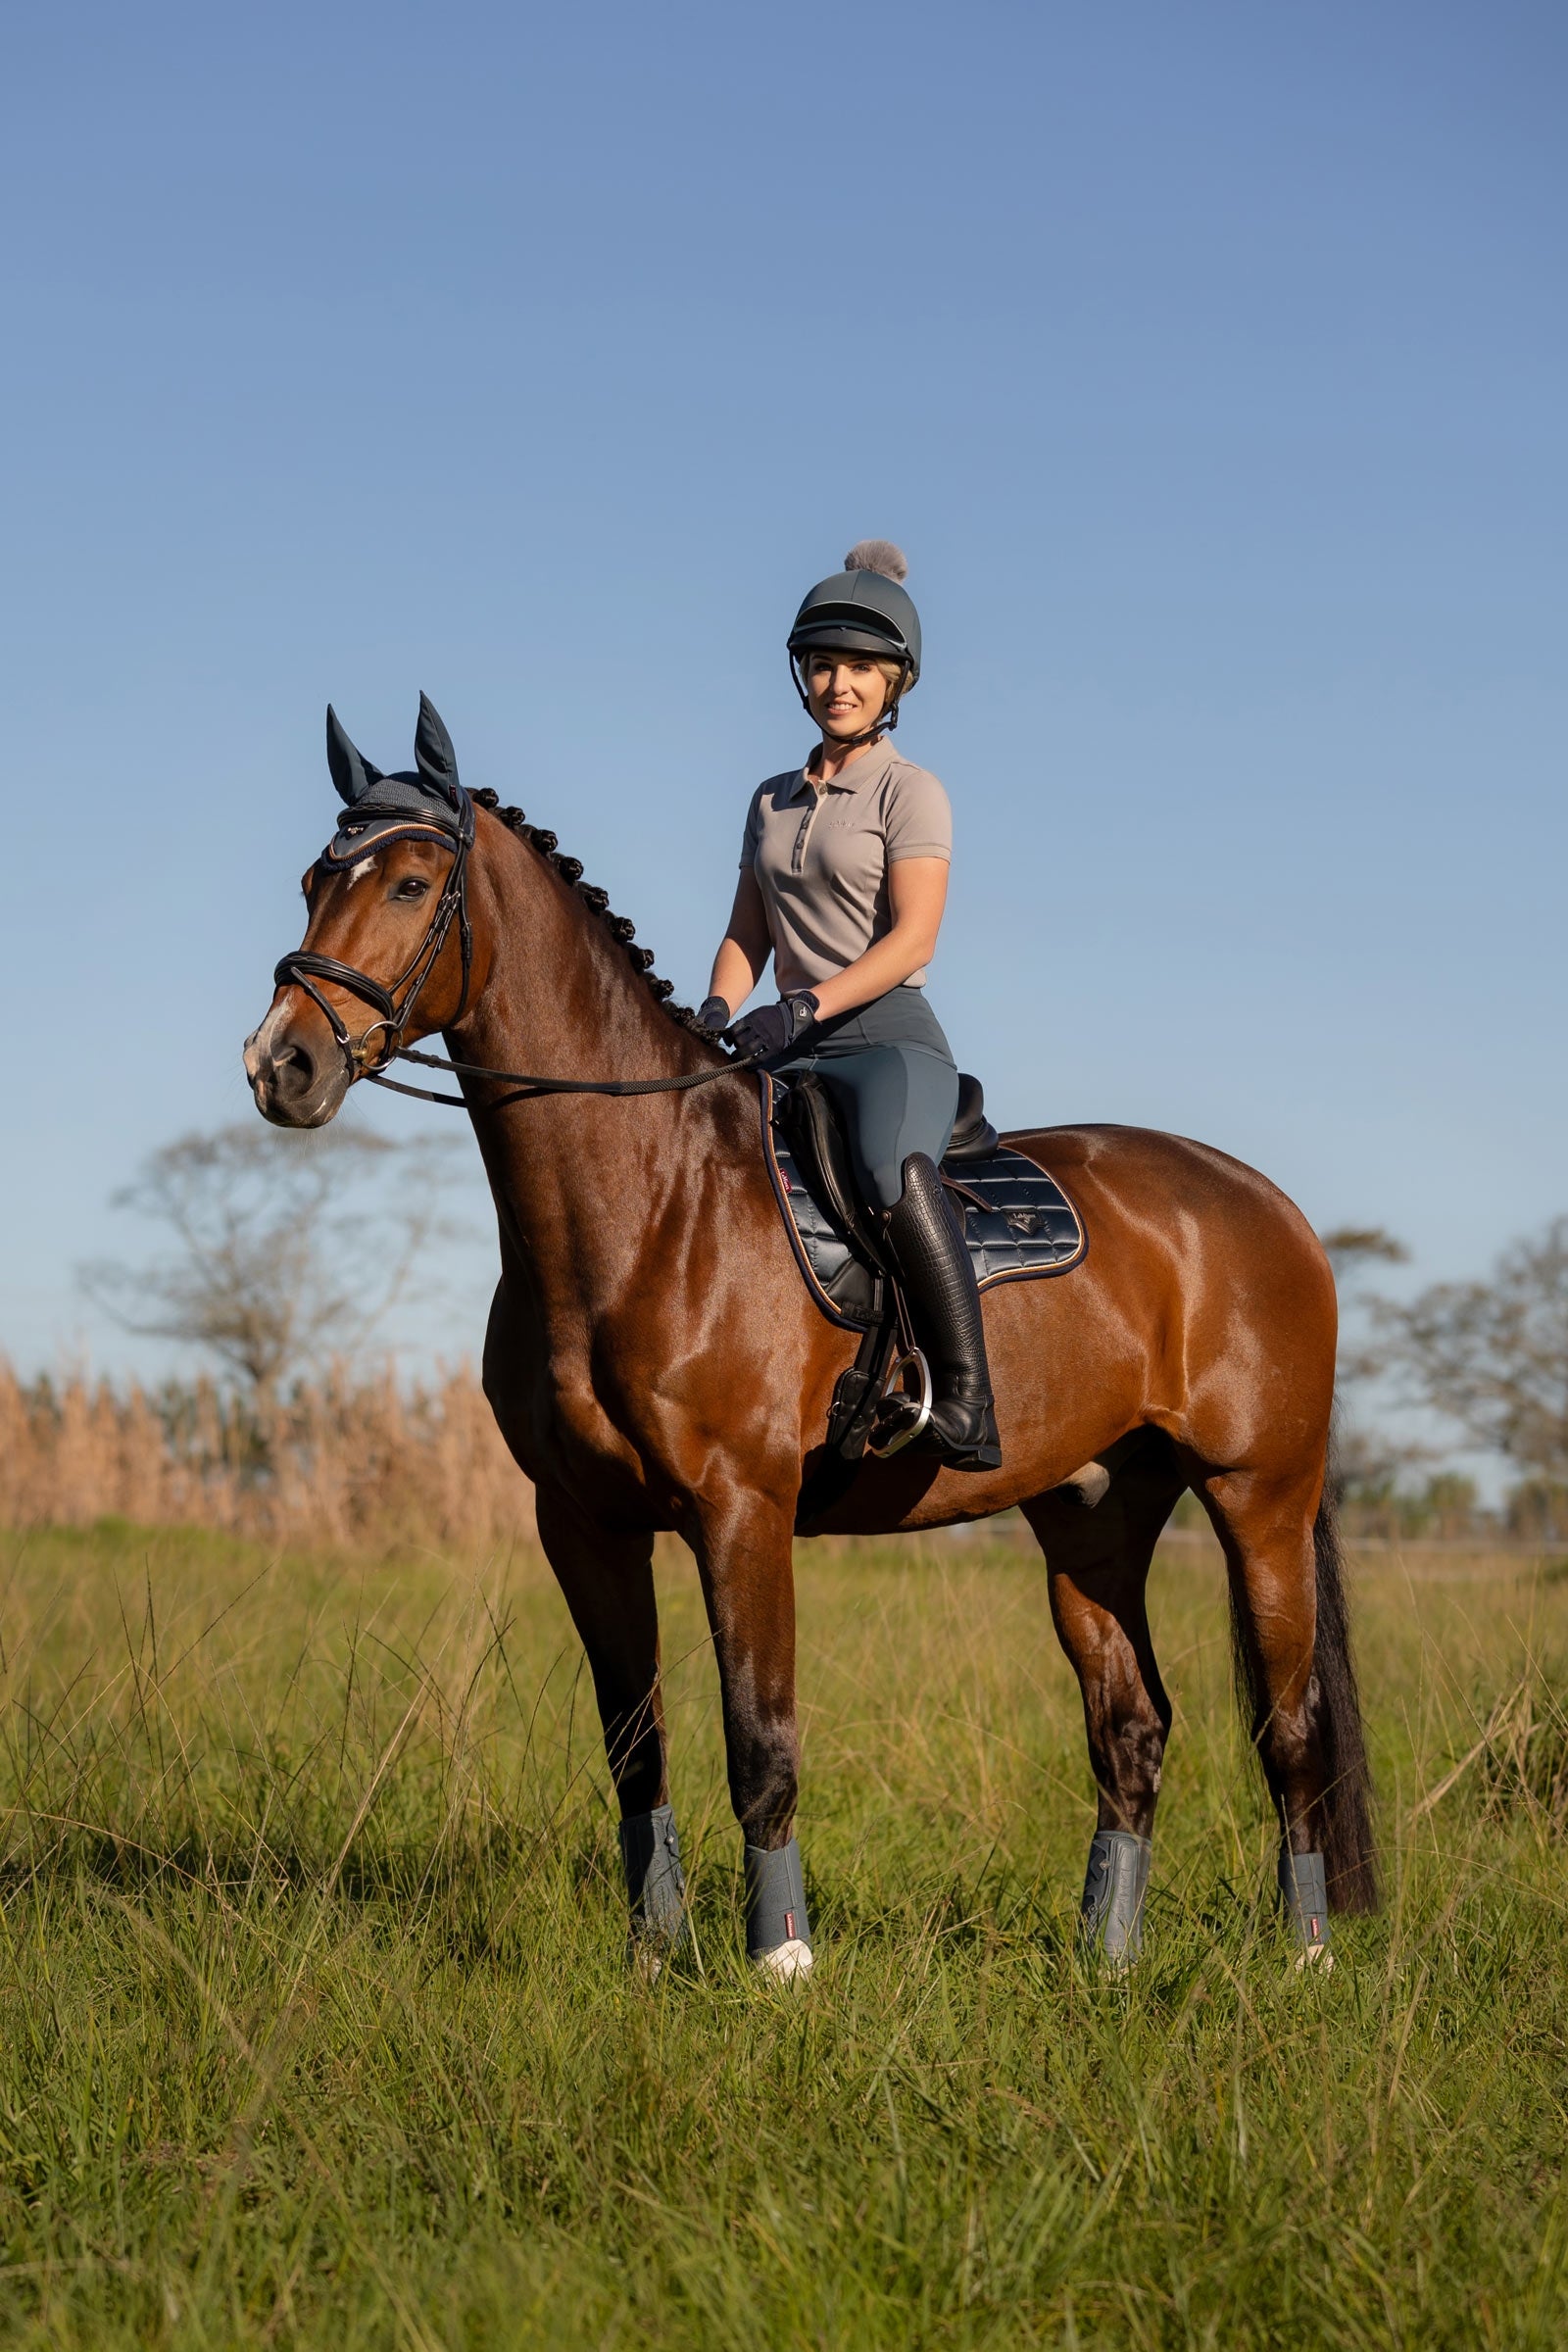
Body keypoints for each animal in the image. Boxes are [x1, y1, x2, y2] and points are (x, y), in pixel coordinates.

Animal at [245, 699, 1374, 1974]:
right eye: (311, 882)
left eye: (409, 884)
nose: (280, 1065)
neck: (647, 1198)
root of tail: (1266, 1205)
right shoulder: (582, 1523)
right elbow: (634, 1745)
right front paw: (653, 1954)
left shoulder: (742, 1509)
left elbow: (761, 1740)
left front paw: (780, 1960)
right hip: (1091, 1520)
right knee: (1131, 1728)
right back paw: (1106, 1957)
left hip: (1257, 1495)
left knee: (1290, 1730)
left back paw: (1305, 1953)